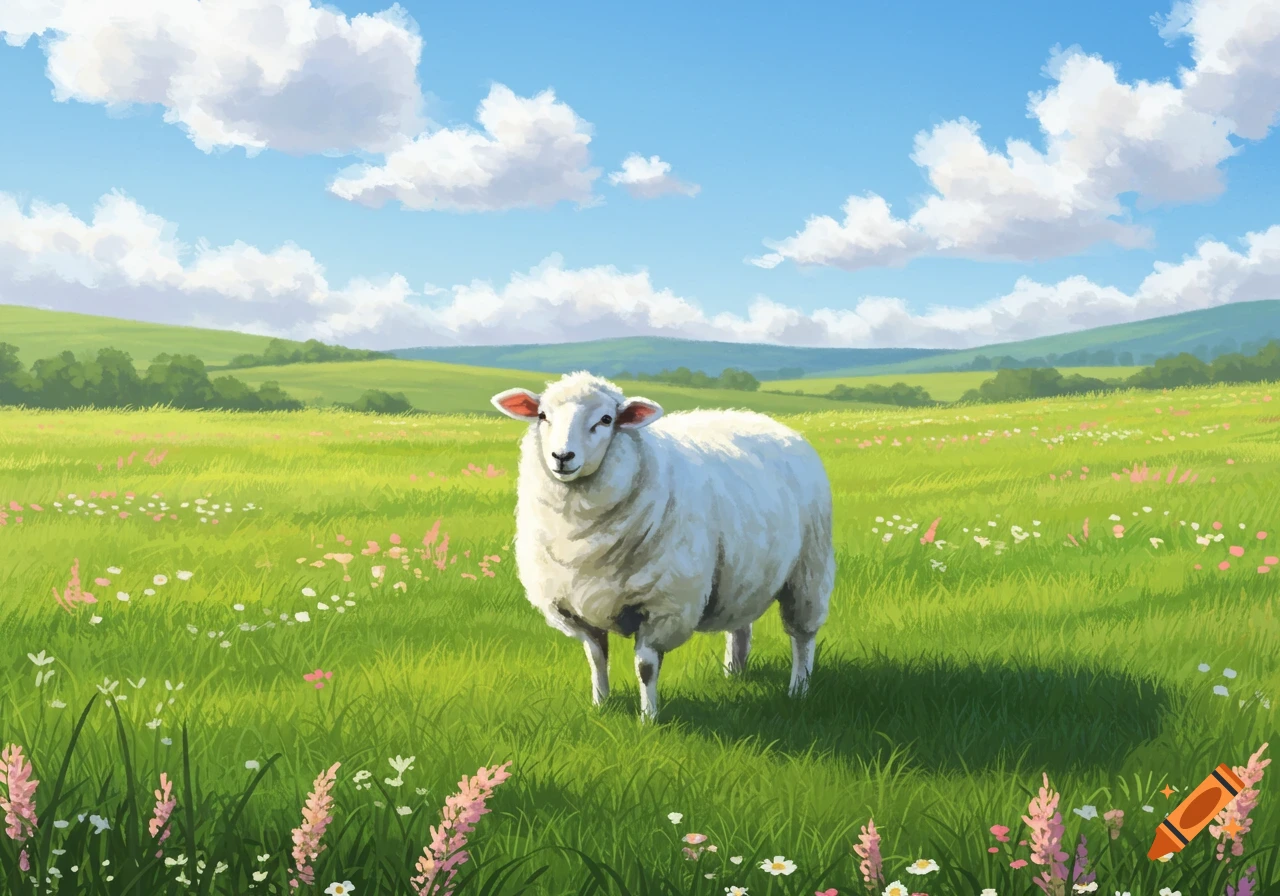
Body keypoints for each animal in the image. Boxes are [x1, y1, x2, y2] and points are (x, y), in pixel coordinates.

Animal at [491, 370, 835, 721]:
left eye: (606, 419)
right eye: (542, 416)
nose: (562, 457)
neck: (581, 537)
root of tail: (767, 421)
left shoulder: (664, 605)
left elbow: (645, 667)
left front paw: (648, 719)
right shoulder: (574, 607)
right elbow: (596, 657)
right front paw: (601, 705)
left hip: (809, 567)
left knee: (802, 635)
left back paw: (798, 689)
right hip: (744, 573)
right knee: (740, 626)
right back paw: (734, 673)